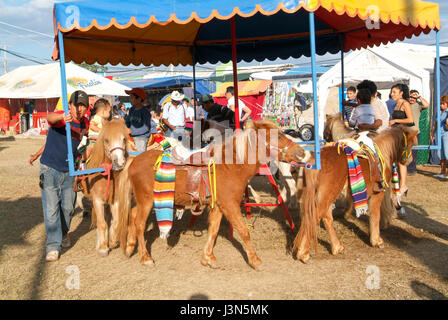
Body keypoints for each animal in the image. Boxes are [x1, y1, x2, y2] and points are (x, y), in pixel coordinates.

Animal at [78, 119, 134, 256]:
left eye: (124, 139)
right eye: (106, 140)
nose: (119, 162)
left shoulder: (115, 201)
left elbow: (116, 222)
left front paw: (113, 242)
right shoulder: (98, 201)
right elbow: (102, 223)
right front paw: (103, 248)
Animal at [116, 120, 308, 268]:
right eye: (279, 136)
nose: (302, 152)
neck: (230, 167)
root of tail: (134, 160)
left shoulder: (219, 207)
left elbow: (213, 231)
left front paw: (208, 258)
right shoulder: (230, 206)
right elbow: (244, 231)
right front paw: (255, 260)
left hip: (142, 202)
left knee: (133, 215)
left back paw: (130, 247)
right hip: (147, 201)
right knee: (139, 224)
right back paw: (145, 258)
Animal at [292, 125, 418, 262]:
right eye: (410, 143)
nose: (410, 160)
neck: (382, 153)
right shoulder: (377, 194)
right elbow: (375, 215)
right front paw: (376, 240)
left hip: (325, 197)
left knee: (324, 218)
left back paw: (336, 247)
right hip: (326, 196)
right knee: (315, 218)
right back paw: (303, 253)